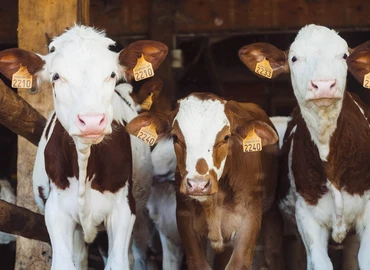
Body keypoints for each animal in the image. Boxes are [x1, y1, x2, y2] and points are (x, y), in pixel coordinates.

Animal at [0, 25, 166, 270]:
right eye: (56, 76)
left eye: (112, 74)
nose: (91, 121)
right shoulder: (56, 210)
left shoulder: (123, 209)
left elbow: (118, 262)